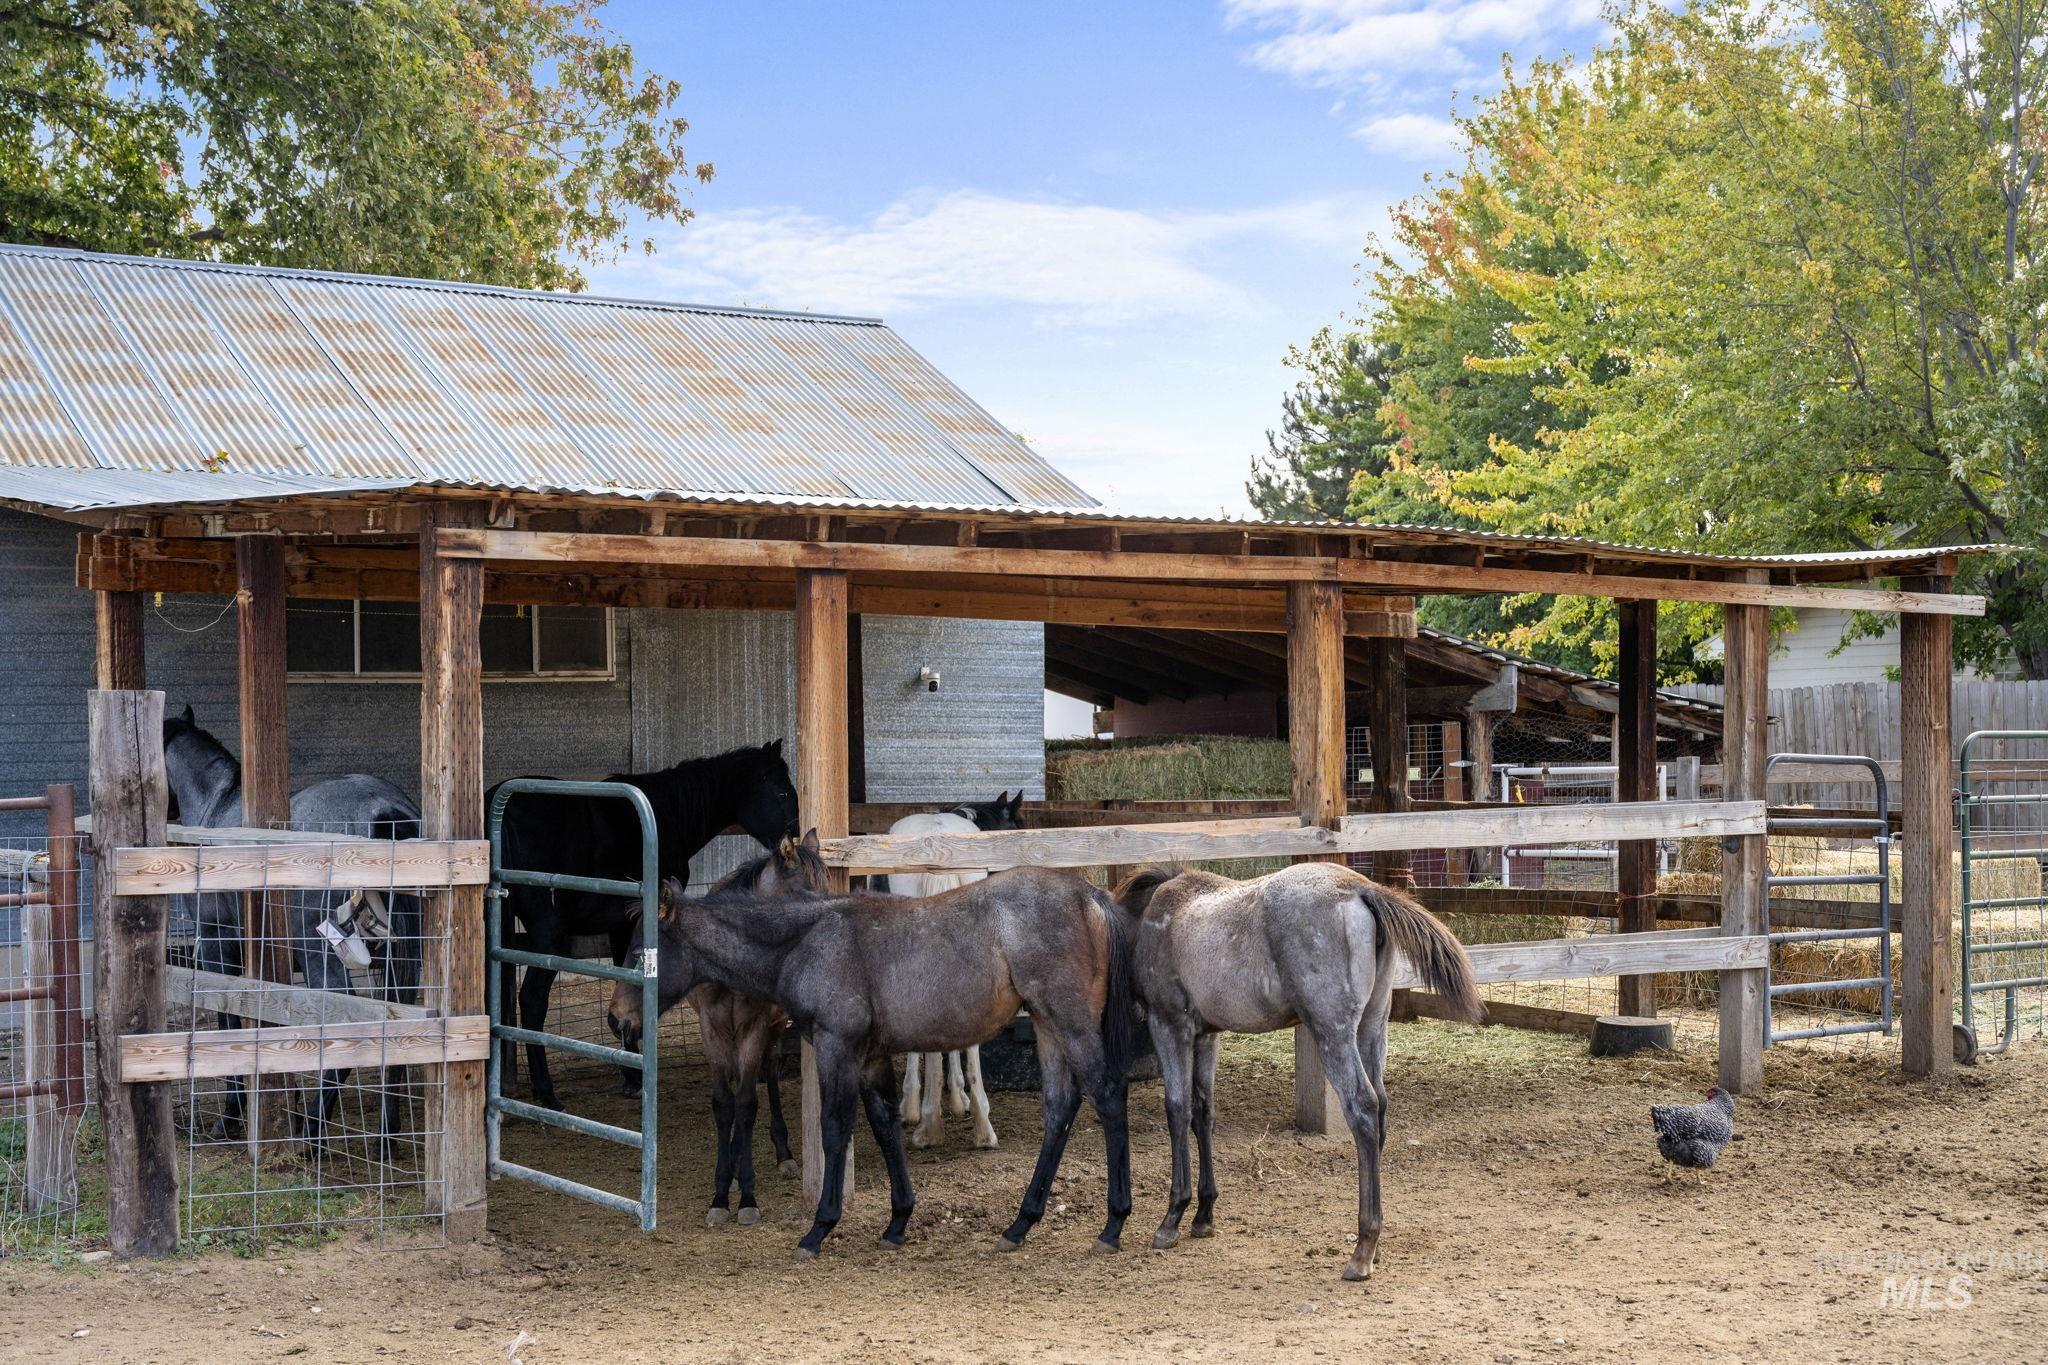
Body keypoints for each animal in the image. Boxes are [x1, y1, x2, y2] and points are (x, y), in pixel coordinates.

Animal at [161, 705, 423, 1141]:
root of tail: (382, 810)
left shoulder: (218, 947)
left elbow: (230, 1020)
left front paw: (232, 1115)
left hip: (322, 954)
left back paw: (313, 1133)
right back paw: (384, 1137)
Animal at [489, 740, 798, 1112]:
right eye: (781, 792)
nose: (794, 841)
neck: (668, 812)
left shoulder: (619, 925)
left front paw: (629, 1066)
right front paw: (636, 1074)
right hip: (549, 937)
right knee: (533, 1000)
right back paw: (546, 1094)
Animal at [609, 842, 1138, 1259]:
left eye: (637, 954)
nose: (618, 1020)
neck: (807, 940)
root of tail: (1092, 896)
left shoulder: (834, 1046)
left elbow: (834, 1129)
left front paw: (819, 1228)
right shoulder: (869, 1056)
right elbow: (884, 1126)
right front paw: (897, 1221)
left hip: (1070, 1022)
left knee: (1109, 1095)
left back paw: (1113, 1225)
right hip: (1047, 1026)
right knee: (1060, 1107)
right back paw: (1019, 1225)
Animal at [1112, 862, 1481, 1282]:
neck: (1161, 914)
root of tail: (1362, 889)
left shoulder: (1169, 1025)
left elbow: (1177, 1111)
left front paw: (1172, 1217)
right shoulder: (1206, 1035)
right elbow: (1202, 1112)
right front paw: (1204, 1214)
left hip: (1333, 1033)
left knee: (1363, 1108)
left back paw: (1362, 1248)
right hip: (1372, 1028)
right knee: (1381, 1110)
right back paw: (1376, 1247)